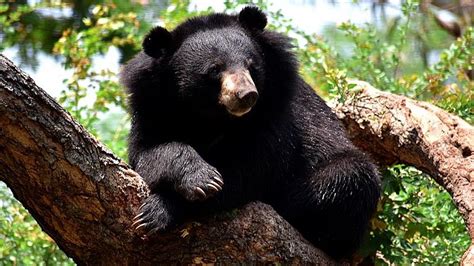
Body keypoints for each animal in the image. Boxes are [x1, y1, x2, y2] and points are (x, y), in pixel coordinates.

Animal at [121, 6, 382, 260]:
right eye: (214, 69)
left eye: (251, 65)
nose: (246, 95)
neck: (211, 117)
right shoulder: (152, 109)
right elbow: (148, 153)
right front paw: (201, 178)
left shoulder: (275, 116)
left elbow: (249, 172)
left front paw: (160, 210)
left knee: (351, 175)